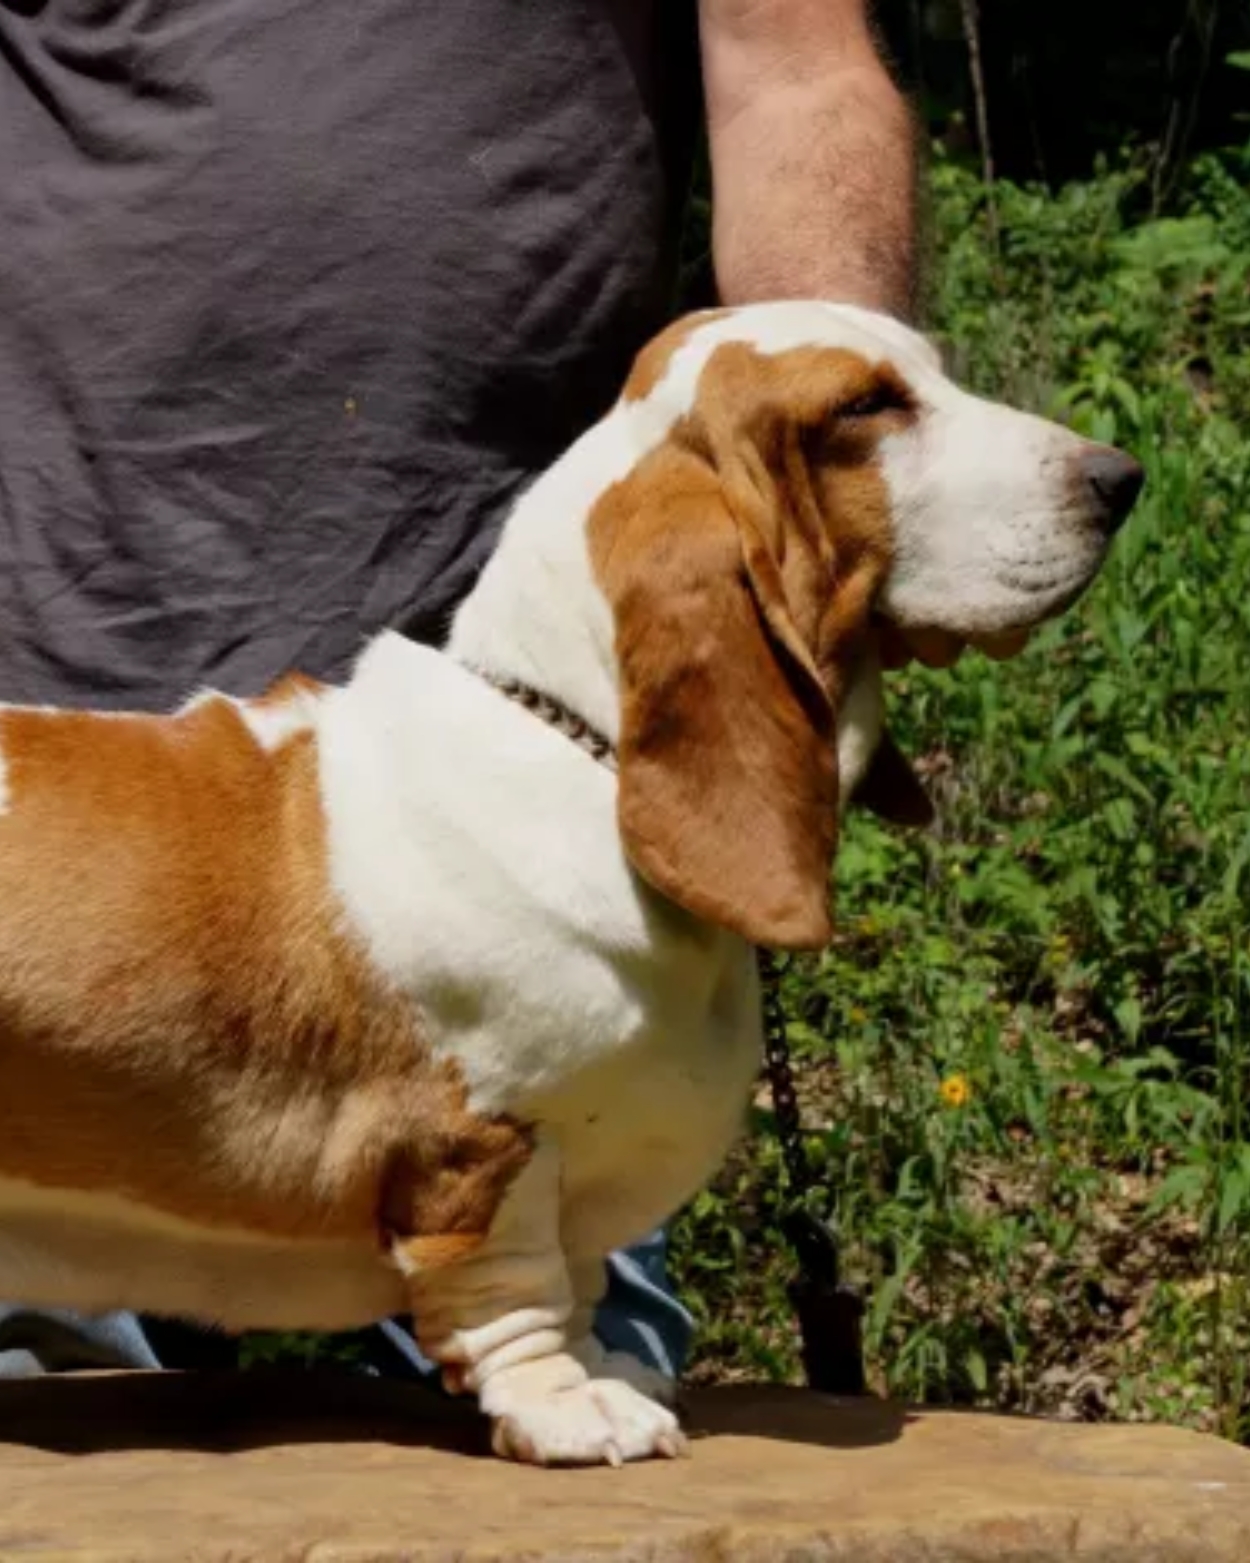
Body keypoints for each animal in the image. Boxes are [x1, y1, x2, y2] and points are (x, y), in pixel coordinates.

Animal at [0, 304, 1137, 1462]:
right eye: (863, 406)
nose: (1121, 479)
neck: (577, 746)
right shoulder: (489, 1140)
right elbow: (515, 1292)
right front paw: (572, 1409)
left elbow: (583, 1287)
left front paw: (610, 1369)